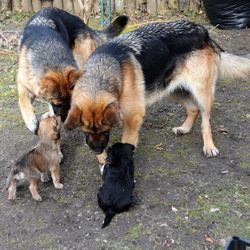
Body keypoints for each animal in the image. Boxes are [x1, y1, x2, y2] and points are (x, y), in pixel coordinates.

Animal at [64, 21, 250, 158]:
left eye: (105, 129)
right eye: (85, 131)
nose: (96, 150)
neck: (103, 71)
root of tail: (203, 31)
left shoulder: (133, 119)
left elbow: (125, 145)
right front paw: (103, 163)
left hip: (202, 93)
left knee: (205, 120)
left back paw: (209, 146)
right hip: (171, 89)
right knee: (193, 108)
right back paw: (184, 128)